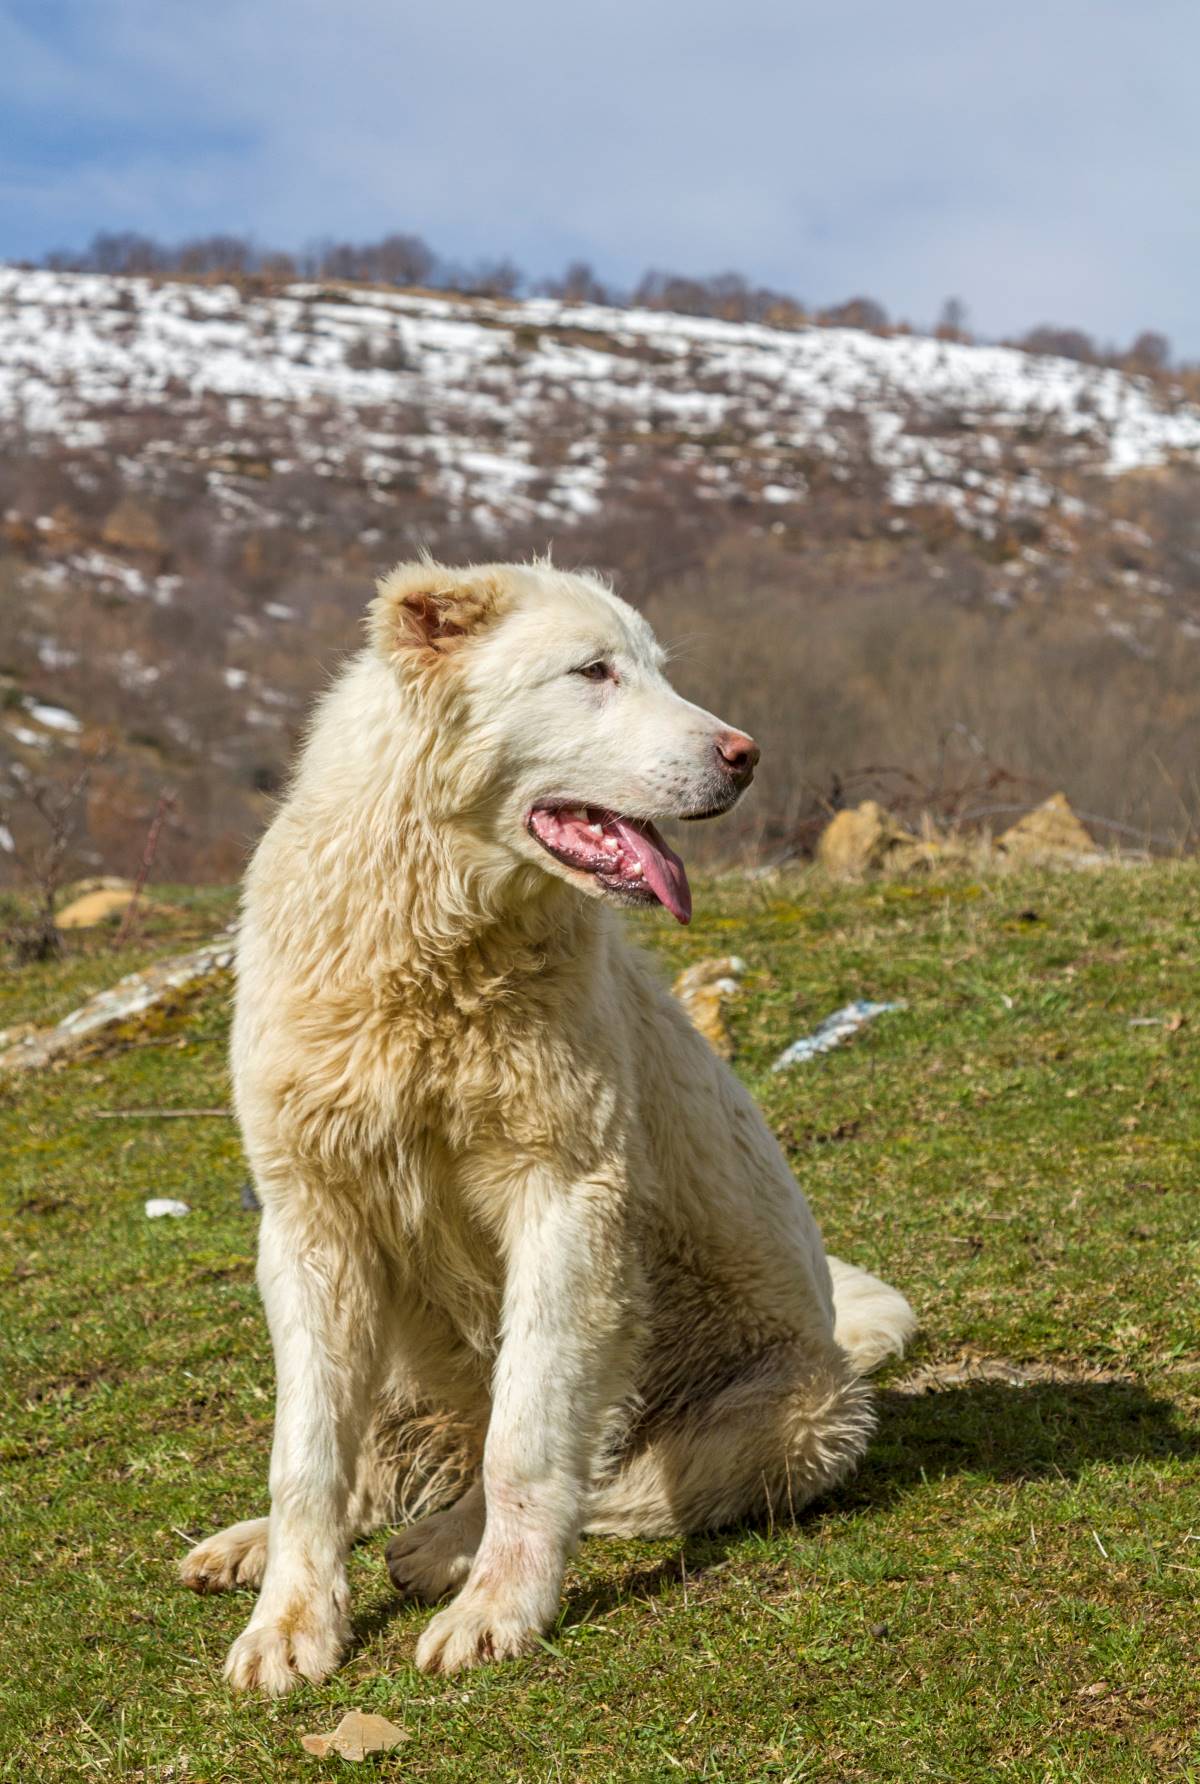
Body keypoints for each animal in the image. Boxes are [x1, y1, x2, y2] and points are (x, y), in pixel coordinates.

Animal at [178, 556, 912, 1684]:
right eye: (593, 671)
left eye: (654, 667)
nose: (745, 755)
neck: (433, 945)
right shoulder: (314, 1216)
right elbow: (306, 1454)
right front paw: (291, 1620)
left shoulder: (565, 1200)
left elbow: (526, 1446)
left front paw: (496, 1607)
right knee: (378, 1463)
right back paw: (259, 1545)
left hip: (793, 1416)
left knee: (599, 1476)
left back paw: (442, 1545)